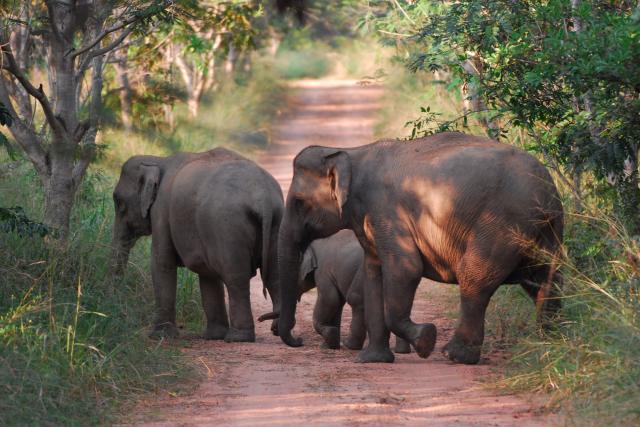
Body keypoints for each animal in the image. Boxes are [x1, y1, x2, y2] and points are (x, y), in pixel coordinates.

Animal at [111, 147, 284, 342]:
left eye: (118, 202)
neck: (158, 160)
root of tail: (263, 198)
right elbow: (207, 274)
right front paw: (213, 336)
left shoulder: (161, 211)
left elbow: (162, 263)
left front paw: (160, 336)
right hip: (278, 220)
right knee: (275, 274)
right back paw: (278, 330)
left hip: (228, 226)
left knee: (236, 278)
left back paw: (238, 338)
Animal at [260, 229, 411, 353]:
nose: (259, 319)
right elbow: (337, 304)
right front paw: (329, 345)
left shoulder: (323, 270)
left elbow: (330, 300)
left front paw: (330, 338)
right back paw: (401, 351)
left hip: (364, 272)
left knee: (356, 300)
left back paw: (350, 345)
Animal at [276, 132, 563, 364]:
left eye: (299, 202)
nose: (298, 340)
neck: (350, 153)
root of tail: (546, 188)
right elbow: (373, 275)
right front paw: (374, 360)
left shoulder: (387, 211)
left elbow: (405, 270)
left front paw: (426, 339)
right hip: (546, 230)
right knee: (546, 281)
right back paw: (548, 345)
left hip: (501, 226)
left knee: (474, 277)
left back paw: (455, 355)